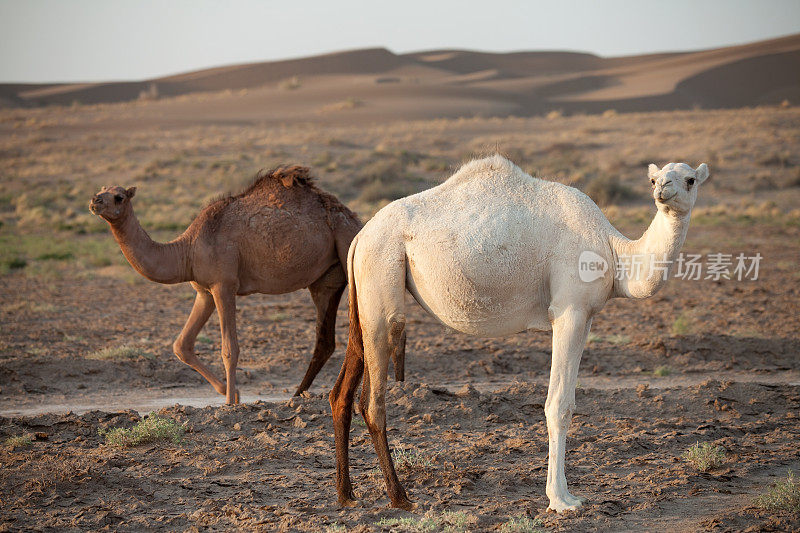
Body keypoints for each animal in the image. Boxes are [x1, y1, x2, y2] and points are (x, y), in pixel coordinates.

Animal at [90, 166, 372, 404]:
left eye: (119, 197)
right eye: (101, 190)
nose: (94, 201)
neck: (187, 250)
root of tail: (354, 218)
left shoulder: (223, 285)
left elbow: (229, 350)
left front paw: (229, 403)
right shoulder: (203, 291)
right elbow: (182, 345)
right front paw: (231, 392)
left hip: (348, 248)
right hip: (325, 280)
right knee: (325, 339)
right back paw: (296, 395)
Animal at [328, 155, 708, 512]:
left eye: (689, 179)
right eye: (655, 179)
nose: (663, 191)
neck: (614, 252)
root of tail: (361, 236)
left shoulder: (586, 316)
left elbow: (567, 401)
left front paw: (566, 495)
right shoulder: (569, 310)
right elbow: (558, 405)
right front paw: (561, 500)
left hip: (365, 295)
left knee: (342, 391)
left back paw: (347, 495)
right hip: (382, 273)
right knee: (373, 398)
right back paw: (399, 497)